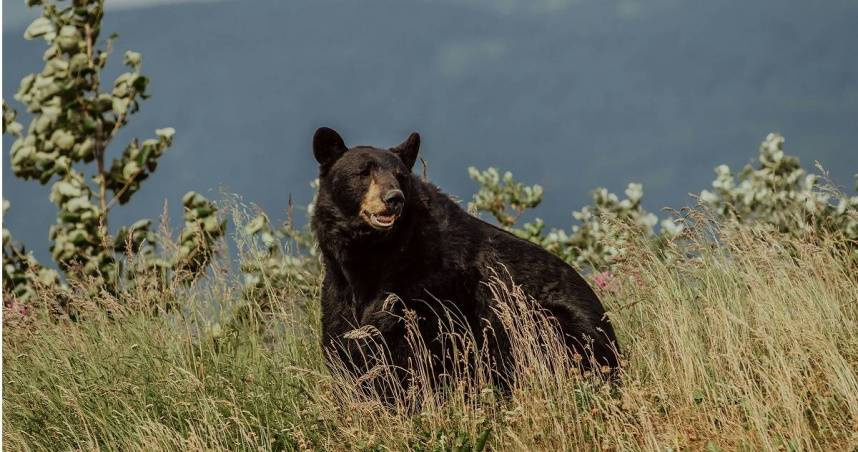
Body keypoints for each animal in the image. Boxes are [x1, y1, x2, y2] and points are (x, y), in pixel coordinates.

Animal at [310, 127, 620, 392]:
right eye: (363, 172)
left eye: (400, 176)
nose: (394, 198)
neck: (372, 255)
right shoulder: (339, 288)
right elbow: (344, 341)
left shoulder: (429, 285)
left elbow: (414, 347)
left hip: (548, 321)